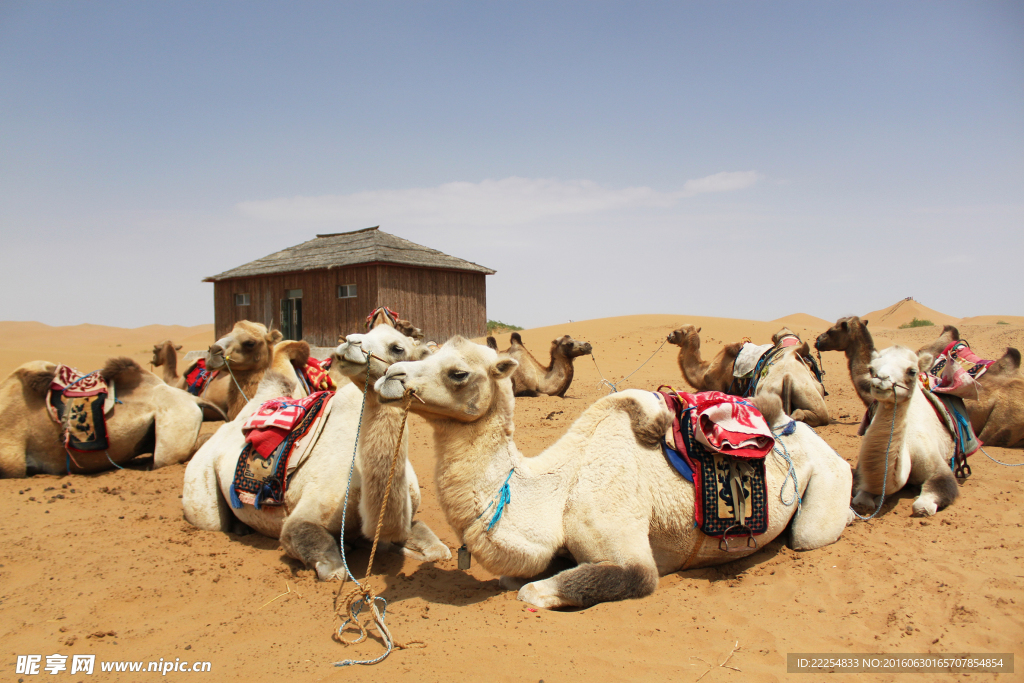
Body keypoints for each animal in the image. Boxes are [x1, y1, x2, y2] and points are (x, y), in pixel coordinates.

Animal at [184, 325, 448, 577]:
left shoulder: (409, 516)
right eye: (368, 331)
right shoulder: (305, 516)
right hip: (201, 484)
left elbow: (438, 550)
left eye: (397, 348)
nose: (350, 341)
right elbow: (331, 567)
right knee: (211, 519)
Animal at [376, 335, 856, 610]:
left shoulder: (625, 542)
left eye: (458, 373)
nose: (389, 377)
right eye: (424, 352)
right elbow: (519, 576)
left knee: (807, 534)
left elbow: (540, 589)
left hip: (825, 484)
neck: (559, 489)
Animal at [847, 350, 958, 516]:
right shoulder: (864, 472)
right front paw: (876, 499)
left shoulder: (938, 467)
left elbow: (923, 505)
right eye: (871, 369)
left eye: (912, 371)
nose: (881, 379)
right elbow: (861, 498)